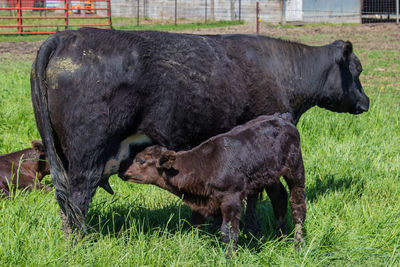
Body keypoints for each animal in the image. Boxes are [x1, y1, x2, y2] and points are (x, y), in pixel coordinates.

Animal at [30, 26, 368, 233]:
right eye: (358, 69)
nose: (366, 101)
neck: (284, 70)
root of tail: (67, 37)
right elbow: (260, 193)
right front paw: (254, 228)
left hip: (63, 155)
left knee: (65, 203)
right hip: (88, 156)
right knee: (76, 201)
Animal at [122, 115, 306, 251]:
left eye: (140, 160)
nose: (123, 172)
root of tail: (282, 117)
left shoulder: (231, 197)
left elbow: (228, 232)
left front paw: (230, 258)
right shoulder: (199, 201)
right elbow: (195, 224)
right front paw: (192, 247)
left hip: (296, 168)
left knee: (297, 206)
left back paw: (298, 245)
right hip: (270, 177)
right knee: (279, 199)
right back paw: (281, 237)